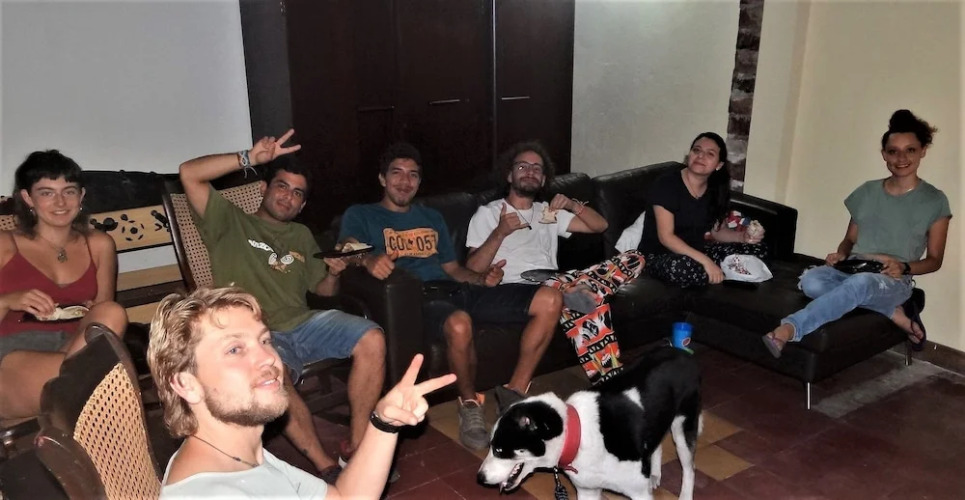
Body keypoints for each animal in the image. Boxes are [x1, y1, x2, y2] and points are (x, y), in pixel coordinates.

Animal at [477, 346, 701, 500]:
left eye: (499, 450)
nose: (480, 477)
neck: (578, 435)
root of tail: (682, 353)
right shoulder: (588, 490)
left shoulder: (639, 493)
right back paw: (654, 474)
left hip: (683, 428)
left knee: (689, 468)